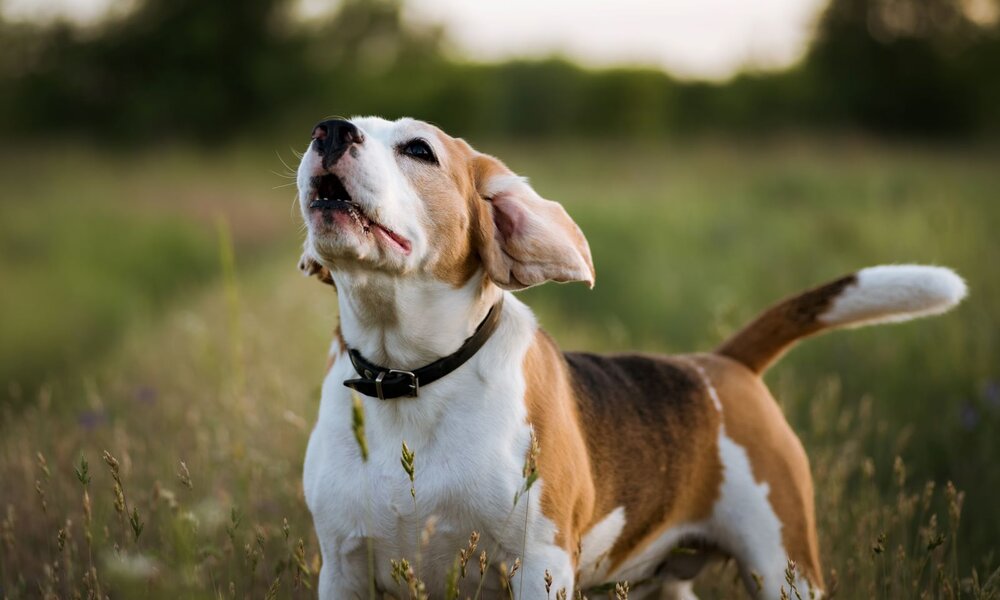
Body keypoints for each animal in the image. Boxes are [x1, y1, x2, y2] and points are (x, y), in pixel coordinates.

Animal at [292, 115, 964, 596]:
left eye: (418, 150)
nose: (329, 130)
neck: (408, 375)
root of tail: (723, 366)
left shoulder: (538, 566)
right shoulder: (342, 569)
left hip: (785, 569)